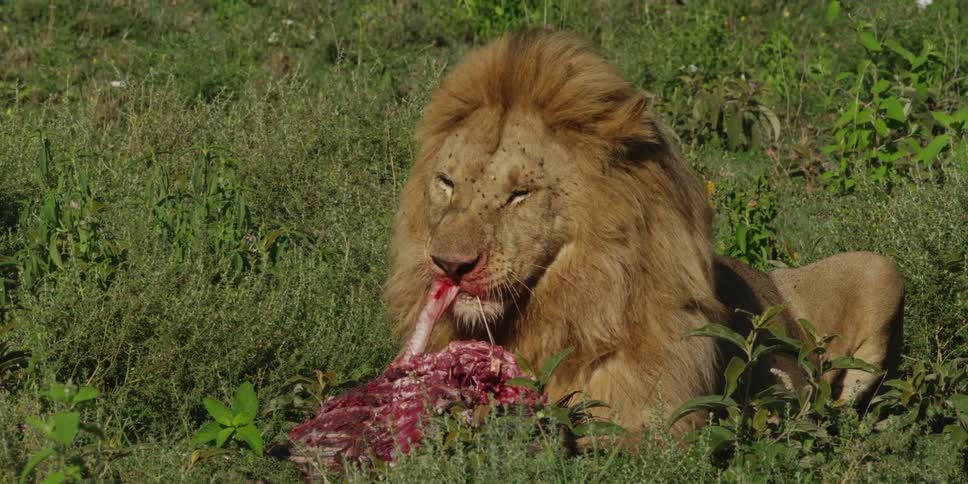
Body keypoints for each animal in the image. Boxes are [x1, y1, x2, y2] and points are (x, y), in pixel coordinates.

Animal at [385, 30, 904, 435]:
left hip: (879, 268)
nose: (450, 265)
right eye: (446, 183)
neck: (556, 312)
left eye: (520, 195)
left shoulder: (653, 429)